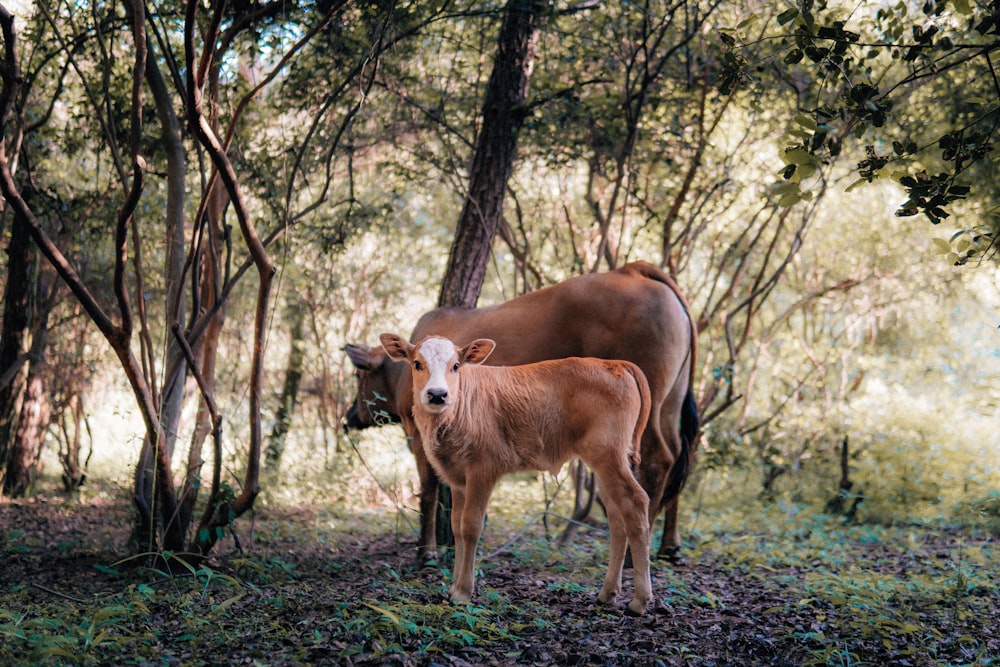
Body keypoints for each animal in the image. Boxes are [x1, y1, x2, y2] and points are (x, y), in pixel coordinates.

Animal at [348, 260, 700, 564]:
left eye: (357, 376)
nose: (349, 416)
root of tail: (633, 270)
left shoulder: (420, 433)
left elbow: (429, 490)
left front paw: (426, 552)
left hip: (645, 407)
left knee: (658, 460)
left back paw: (634, 554)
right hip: (670, 404)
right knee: (681, 455)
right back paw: (670, 546)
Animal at [378, 334, 652, 616]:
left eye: (455, 366)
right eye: (417, 364)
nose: (437, 394)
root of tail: (614, 363)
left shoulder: (483, 469)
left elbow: (470, 526)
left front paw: (464, 591)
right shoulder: (457, 477)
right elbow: (456, 527)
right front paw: (453, 587)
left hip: (609, 455)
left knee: (636, 502)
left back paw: (640, 600)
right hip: (604, 461)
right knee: (616, 515)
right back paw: (608, 593)